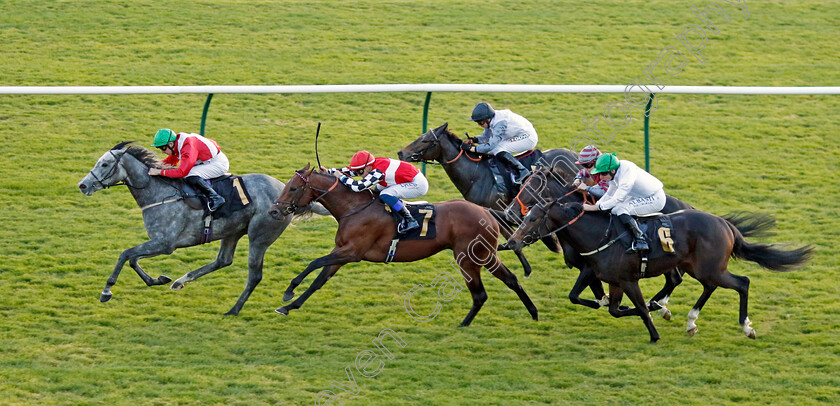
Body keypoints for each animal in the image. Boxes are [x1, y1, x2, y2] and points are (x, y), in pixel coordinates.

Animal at [78, 141, 328, 316]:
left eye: (105, 164)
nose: (83, 185)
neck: (159, 193)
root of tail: (285, 193)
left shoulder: (165, 243)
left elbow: (125, 254)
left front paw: (106, 291)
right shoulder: (158, 242)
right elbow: (132, 258)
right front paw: (158, 279)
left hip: (259, 236)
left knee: (254, 274)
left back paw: (234, 310)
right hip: (233, 231)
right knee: (223, 260)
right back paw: (181, 281)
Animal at [270, 163, 540, 326]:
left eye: (293, 188)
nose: (274, 210)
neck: (354, 208)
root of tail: (485, 210)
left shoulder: (352, 252)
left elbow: (314, 263)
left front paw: (289, 291)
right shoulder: (341, 252)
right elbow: (319, 280)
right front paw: (289, 306)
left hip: (471, 257)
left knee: (482, 292)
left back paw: (464, 324)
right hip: (484, 255)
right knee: (509, 280)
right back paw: (534, 313)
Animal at [398, 122, 580, 278]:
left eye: (425, 139)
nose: (401, 153)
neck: (476, 174)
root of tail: (575, 155)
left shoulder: (499, 213)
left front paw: (527, 268)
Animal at [508, 201, 812, 342]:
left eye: (533, 219)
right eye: (525, 216)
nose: (511, 241)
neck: (599, 235)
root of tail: (725, 224)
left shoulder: (628, 279)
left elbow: (640, 308)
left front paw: (654, 332)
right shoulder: (602, 275)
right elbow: (598, 303)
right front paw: (653, 307)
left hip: (710, 269)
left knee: (743, 283)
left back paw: (746, 326)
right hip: (699, 268)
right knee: (710, 287)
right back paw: (690, 321)